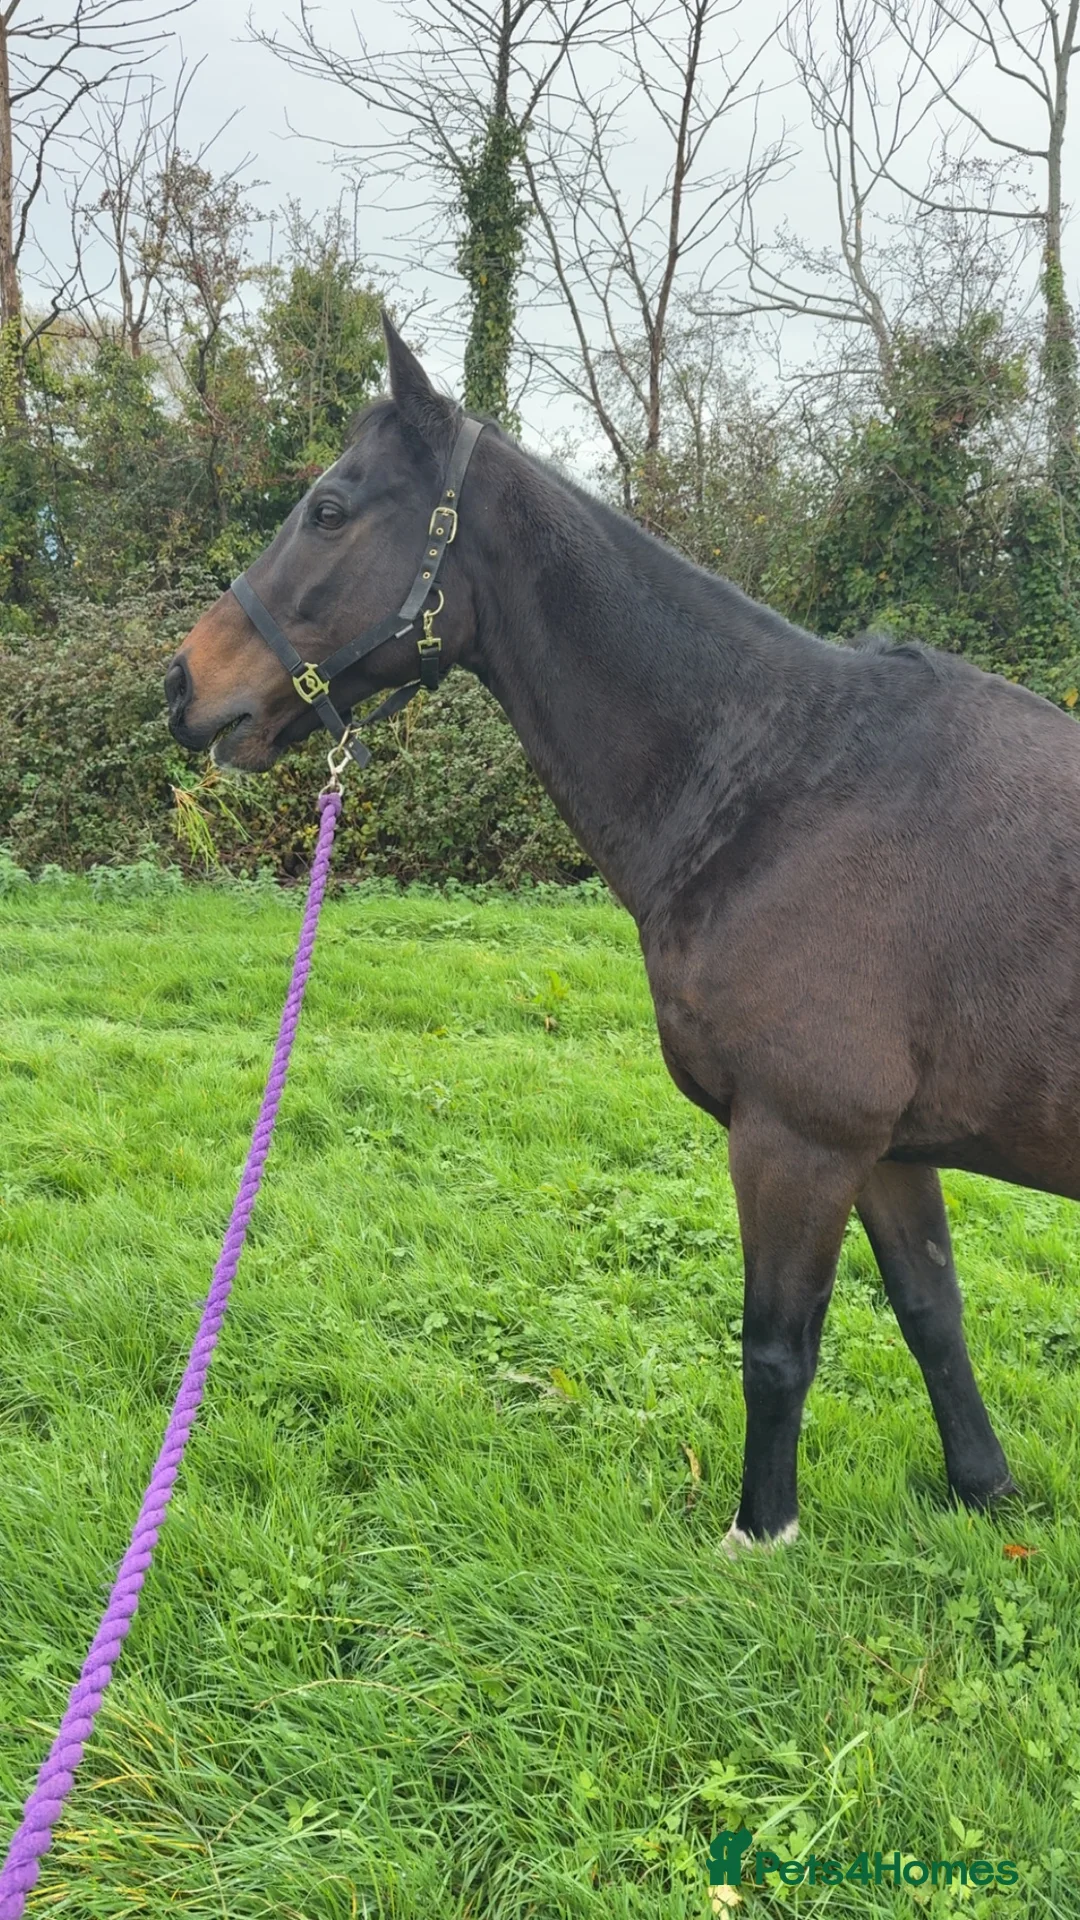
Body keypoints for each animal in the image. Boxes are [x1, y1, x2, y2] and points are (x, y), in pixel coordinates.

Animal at [165, 314, 1080, 1550]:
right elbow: (932, 1309)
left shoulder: (799, 1138)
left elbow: (776, 1349)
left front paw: (760, 1536)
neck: (784, 783)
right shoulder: (884, 1149)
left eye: (330, 509)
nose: (184, 685)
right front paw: (986, 1492)